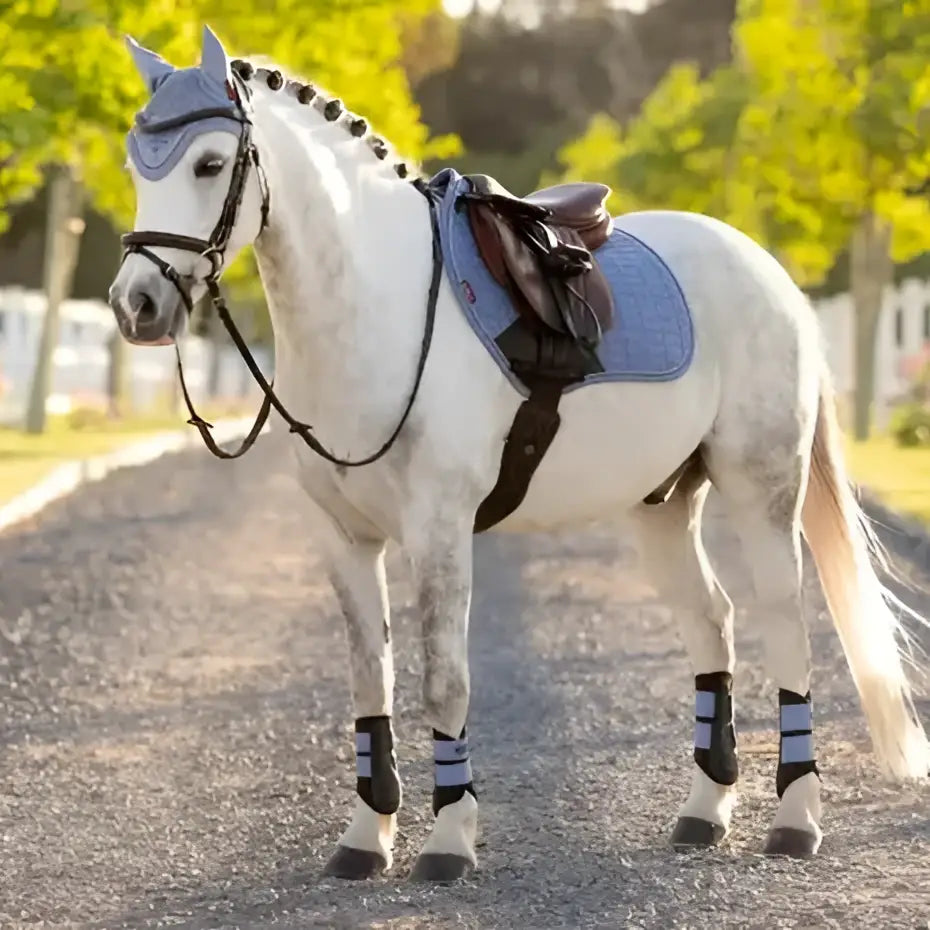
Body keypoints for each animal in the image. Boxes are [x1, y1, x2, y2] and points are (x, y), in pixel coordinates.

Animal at [108, 25, 929, 882]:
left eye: (208, 164)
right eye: (136, 165)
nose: (137, 306)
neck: (379, 306)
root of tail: (770, 273)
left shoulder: (439, 530)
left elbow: (444, 682)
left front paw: (448, 840)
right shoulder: (343, 538)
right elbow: (371, 680)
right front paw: (365, 838)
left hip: (762, 489)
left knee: (783, 623)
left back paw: (796, 821)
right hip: (663, 505)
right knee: (715, 621)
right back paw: (704, 812)